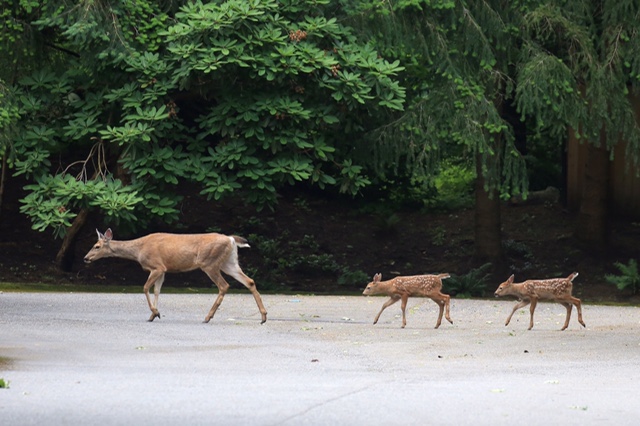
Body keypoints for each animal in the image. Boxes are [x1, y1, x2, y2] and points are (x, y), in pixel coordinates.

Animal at [83, 228, 267, 324]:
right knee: (249, 281)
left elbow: (145, 288)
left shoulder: (157, 266)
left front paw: (154, 312)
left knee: (224, 285)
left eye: (97, 246)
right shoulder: (163, 270)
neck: (138, 250)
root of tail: (231, 239)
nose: (85, 258)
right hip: (229, 262)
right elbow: (157, 291)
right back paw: (263, 316)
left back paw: (207, 317)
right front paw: (154, 314)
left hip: (209, 263)